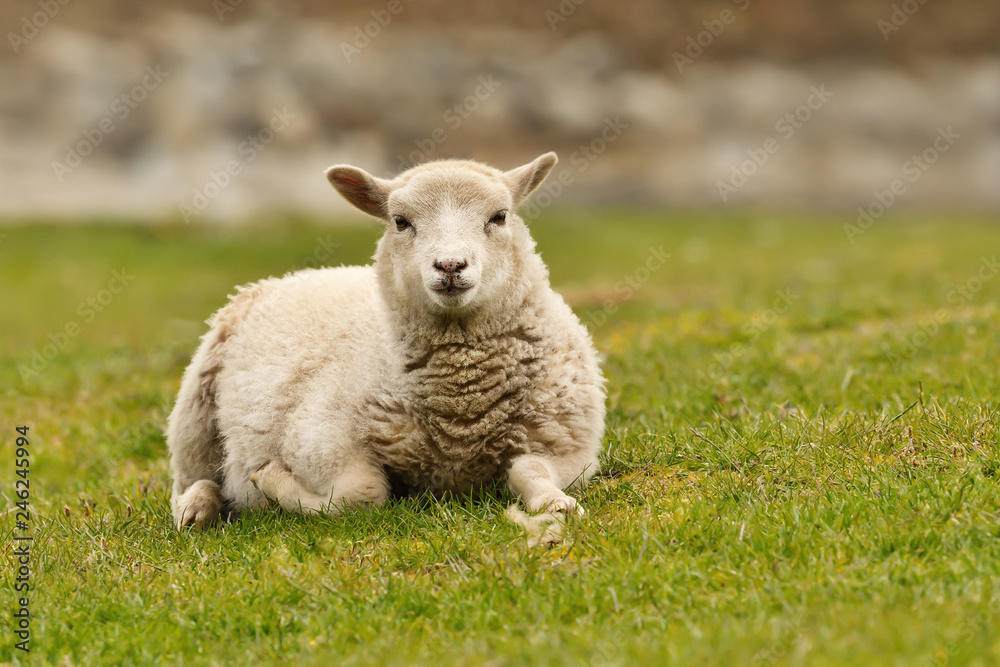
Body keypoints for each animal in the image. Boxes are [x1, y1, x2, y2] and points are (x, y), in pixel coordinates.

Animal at [167, 152, 606, 528]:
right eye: (400, 221)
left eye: (499, 217)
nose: (450, 266)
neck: (461, 406)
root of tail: (293, 275)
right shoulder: (318, 440)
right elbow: (365, 493)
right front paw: (271, 478)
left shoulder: (567, 445)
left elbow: (529, 471)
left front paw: (556, 503)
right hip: (195, 408)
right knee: (193, 478)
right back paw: (196, 509)